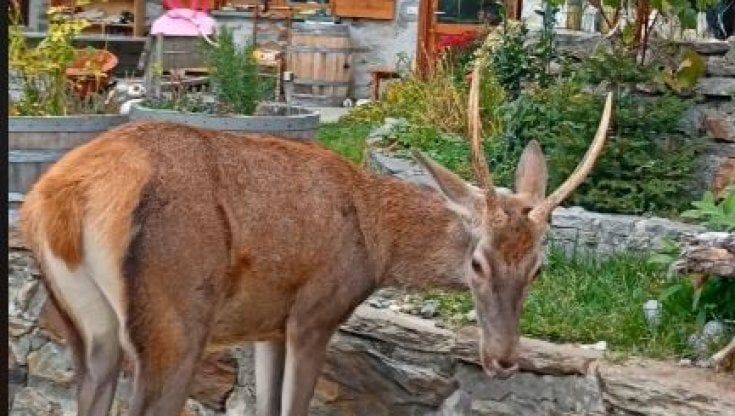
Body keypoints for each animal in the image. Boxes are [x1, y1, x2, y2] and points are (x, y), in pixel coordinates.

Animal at [20, 61, 613, 416]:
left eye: (538, 267)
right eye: (477, 263)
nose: (505, 358)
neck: (375, 242)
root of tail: (61, 200)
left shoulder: (268, 325)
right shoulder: (315, 312)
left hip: (87, 330)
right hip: (173, 322)